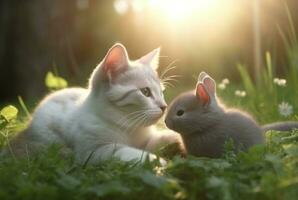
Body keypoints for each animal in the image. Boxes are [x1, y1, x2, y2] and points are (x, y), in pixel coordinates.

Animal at [7, 43, 179, 163]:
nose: (164, 107)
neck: (129, 127)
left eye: (162, 92)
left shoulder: (145, 140)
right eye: (145, 92)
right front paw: (157, 162)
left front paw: (174, 139)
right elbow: (127, 152)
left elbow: (155, 141)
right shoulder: (94, 151)